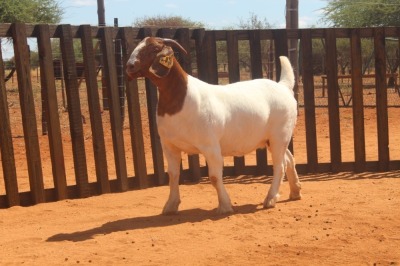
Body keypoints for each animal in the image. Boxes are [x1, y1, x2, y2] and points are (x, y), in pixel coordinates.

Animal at [126, 37, 302, 214]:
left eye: (154, 48)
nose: (130, 66)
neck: (181, 98)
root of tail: (283, 86)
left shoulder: (210, 146)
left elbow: (215, 177)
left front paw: (225, 205)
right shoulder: (169, 145)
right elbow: (173, 175)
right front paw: (170, 205)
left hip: (280, 134)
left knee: (280, 166)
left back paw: (271, 199)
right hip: (271, 139)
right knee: (289, 158)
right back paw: (295, 191)